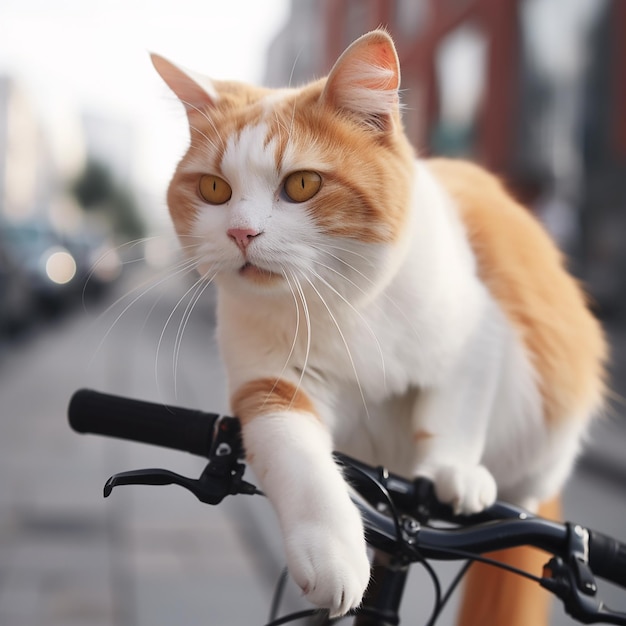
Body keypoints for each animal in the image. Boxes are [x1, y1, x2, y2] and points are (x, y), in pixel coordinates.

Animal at [151, 28, 604, 616]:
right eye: (213, 190)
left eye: (302, 184)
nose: (241, 233)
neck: (339, 302)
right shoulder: (272, 383)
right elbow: (296, 456)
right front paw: (332, 550)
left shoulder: (479, 333)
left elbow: (452, 413)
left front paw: (454, 471)